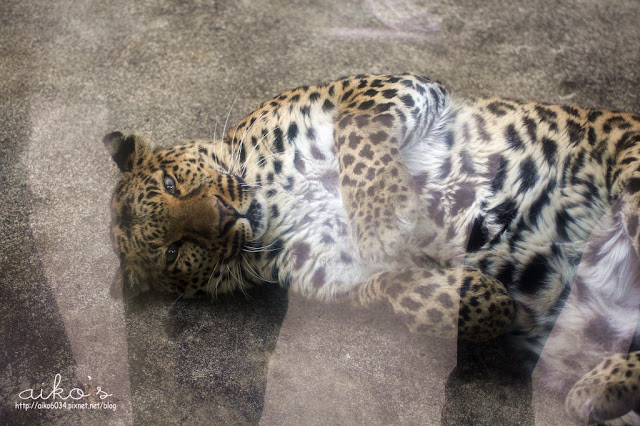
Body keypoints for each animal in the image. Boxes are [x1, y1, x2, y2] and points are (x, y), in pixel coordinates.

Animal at [105, 73, 640, 422]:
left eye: (172, 183)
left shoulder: (382, 86)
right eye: (172, 252)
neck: (271, 202)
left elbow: (356, 134)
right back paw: (601, 390)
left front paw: (381, 218)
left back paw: (599, 388)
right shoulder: (335, 275)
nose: (220, 215)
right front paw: (491, 302)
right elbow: (403, 290)